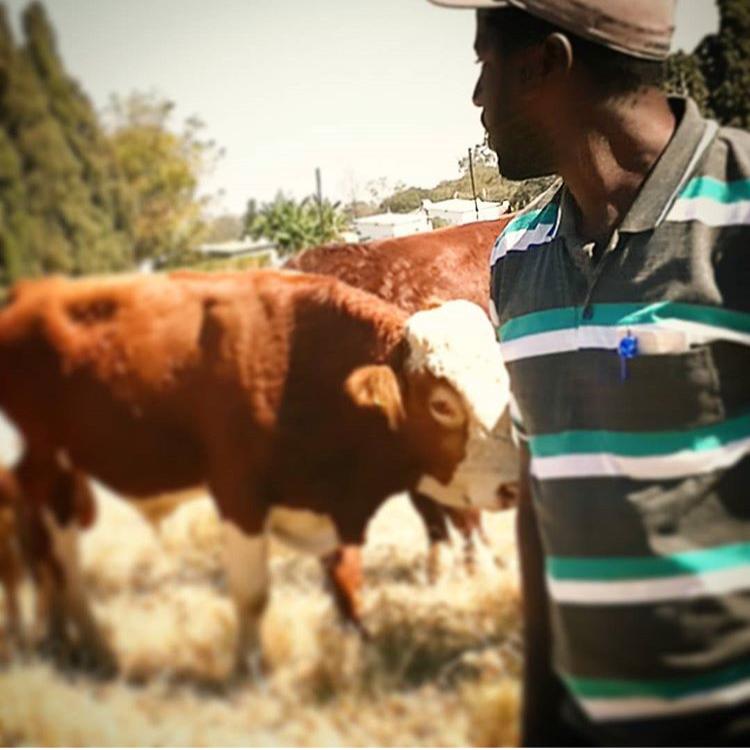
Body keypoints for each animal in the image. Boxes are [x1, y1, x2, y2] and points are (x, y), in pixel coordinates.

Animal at [0, 269, 515, 673]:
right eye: (442, 404)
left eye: (504, 382)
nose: (512, 483)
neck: (301, 366)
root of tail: (28, 292)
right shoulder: (239, 493)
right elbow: (251, 594)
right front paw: (248, 670)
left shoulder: (326, 501)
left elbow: (346, 581)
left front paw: (358, 649)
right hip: (46, 469)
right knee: (60, 560)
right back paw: (94, 648)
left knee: (46, 558)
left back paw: (60, 641)